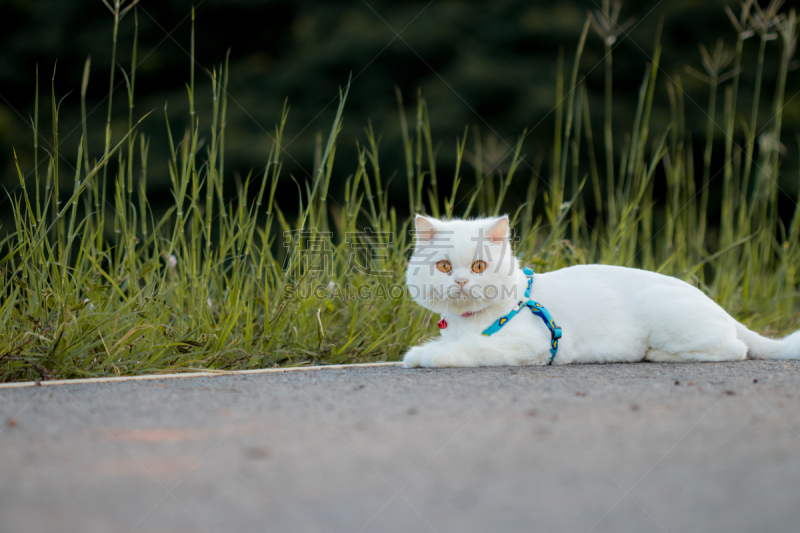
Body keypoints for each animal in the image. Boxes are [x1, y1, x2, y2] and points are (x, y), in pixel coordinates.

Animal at [404, 214, 800, 368]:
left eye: (478, 267)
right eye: (444, 267)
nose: (460, 282)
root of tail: (721, 309)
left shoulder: (526, 345)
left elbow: (468, 349)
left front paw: (425, 355)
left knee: (737, 349)